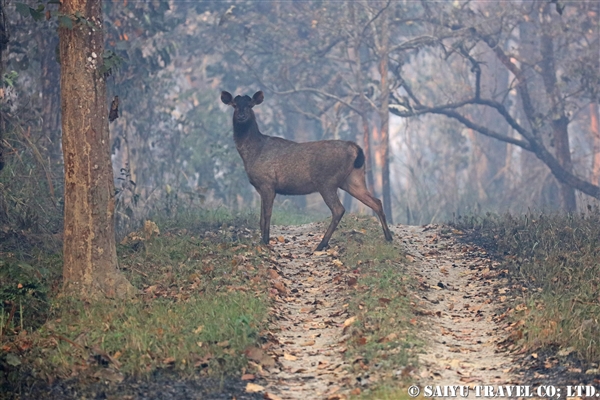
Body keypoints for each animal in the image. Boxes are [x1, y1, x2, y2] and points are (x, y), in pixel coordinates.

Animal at [221, 90, 394, 250]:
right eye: (234, 105)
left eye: (250, 105)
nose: (241, 115)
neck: (253, 152)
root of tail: (356, 149)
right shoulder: (261, 187)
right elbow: (261, 216)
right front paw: (262, 241)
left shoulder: (267, 183)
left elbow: (267, 214)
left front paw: (265, 241)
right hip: (352, 179)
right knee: (376, 201)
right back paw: (388, 237)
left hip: (327, 181)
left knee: (338, 209)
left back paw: (321, 244)